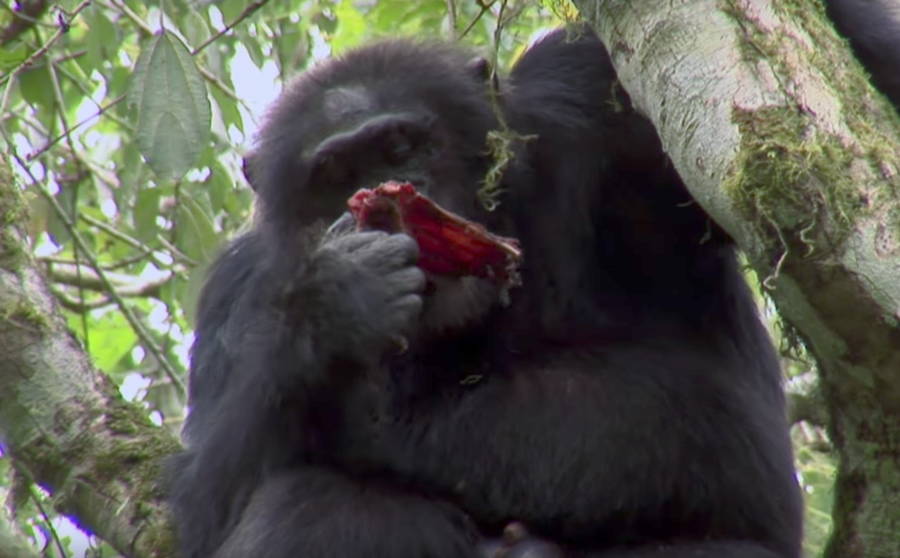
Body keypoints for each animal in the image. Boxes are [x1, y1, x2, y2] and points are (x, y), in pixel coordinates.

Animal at [167, 2, 900, 556]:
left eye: (400, 146)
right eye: (335, 175)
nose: (383, 194)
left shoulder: (590, 93)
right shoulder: (238, 290)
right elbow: (205, 503)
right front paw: (336, 300)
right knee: (304, 505)